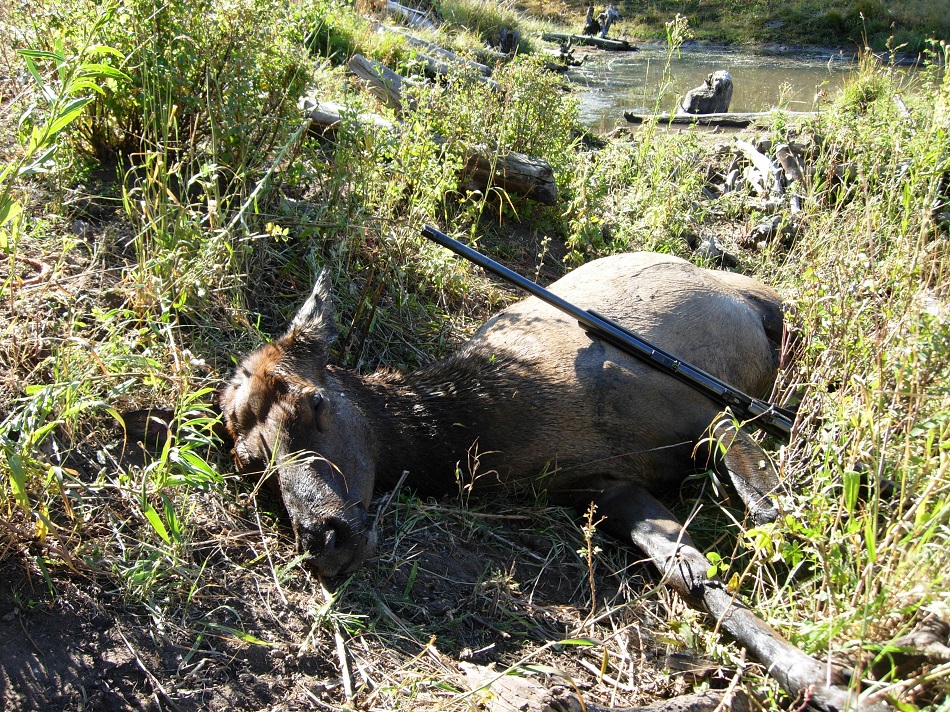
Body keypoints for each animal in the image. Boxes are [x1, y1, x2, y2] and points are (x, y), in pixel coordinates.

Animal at [223, 250, 876, 712]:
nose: (325, 536)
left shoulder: (701, 410)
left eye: (314, 402)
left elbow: (771, 510)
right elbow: (690, 572)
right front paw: (826, 678)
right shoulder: (600, 487)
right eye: (253, 464)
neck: (485, 425)